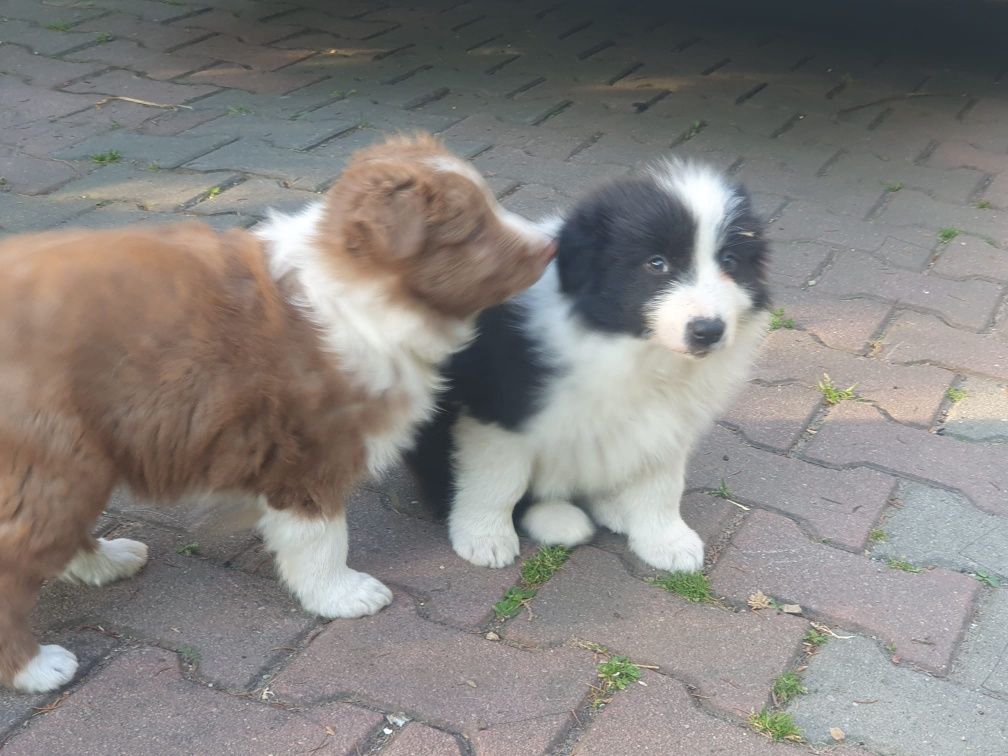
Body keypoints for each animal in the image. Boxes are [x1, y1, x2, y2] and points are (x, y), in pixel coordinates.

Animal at [0, 135, 556, 693]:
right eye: (472, 230)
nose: (551, 248)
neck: (363, 290)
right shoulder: (309, 454)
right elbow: (323, 539)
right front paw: (343, 595)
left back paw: (108, 561)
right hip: (56, 463)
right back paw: (37, 667)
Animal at [405, 161, 766, 572]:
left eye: (730, 262)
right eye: (656, 263)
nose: (708, 330)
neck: (627, 345)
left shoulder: (668, 420)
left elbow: (661, 484)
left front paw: (667, 540)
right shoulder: (499, 414)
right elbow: (498, 481)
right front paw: (484, 537)